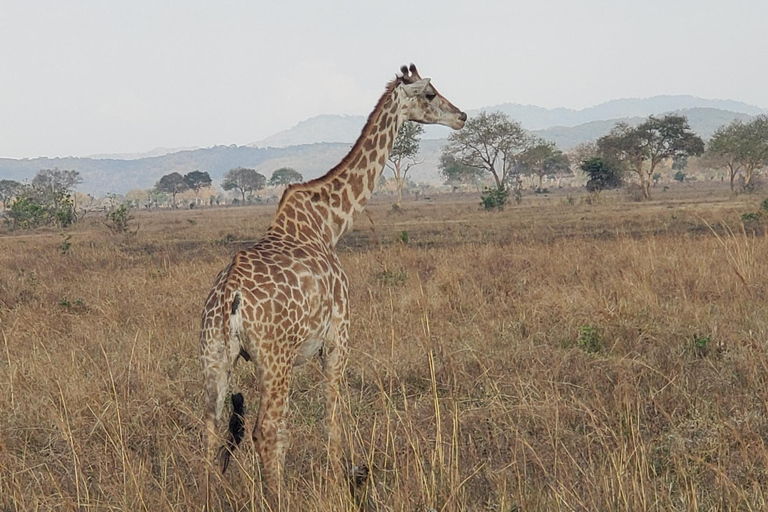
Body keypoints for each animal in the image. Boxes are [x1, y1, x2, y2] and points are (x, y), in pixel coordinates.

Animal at [201, 64, 464, 508]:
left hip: (214, 354)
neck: (328, 224)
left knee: (211, 423)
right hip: (274, 358)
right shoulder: (338, 338)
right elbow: (333, 415)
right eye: (429, 94)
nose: (461, 116)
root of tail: (230, 301)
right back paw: (277, 498)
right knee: (267, 428)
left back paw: (206, 494)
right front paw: (342, 480)